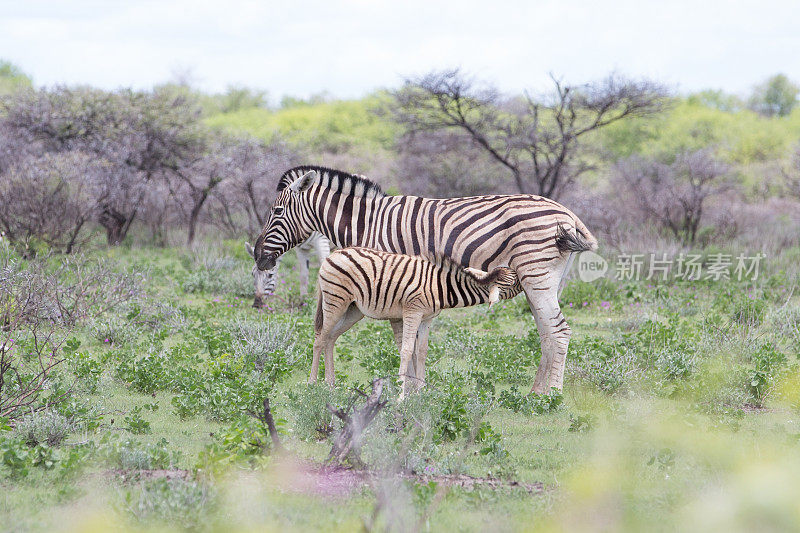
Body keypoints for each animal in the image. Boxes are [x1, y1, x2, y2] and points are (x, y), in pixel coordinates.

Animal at [310, 247, 520, 396]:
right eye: (514, 283)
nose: (526, 282)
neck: (441, 287)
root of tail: (334, 253)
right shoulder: (413, 312)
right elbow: (406, 350)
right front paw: (401, 395)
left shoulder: (427, 318)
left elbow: (422, 351)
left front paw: (421, 391)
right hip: (335, 301)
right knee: (320, 338)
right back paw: (312, 384)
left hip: (353, 309)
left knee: (330, 338)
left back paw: (331, 384)